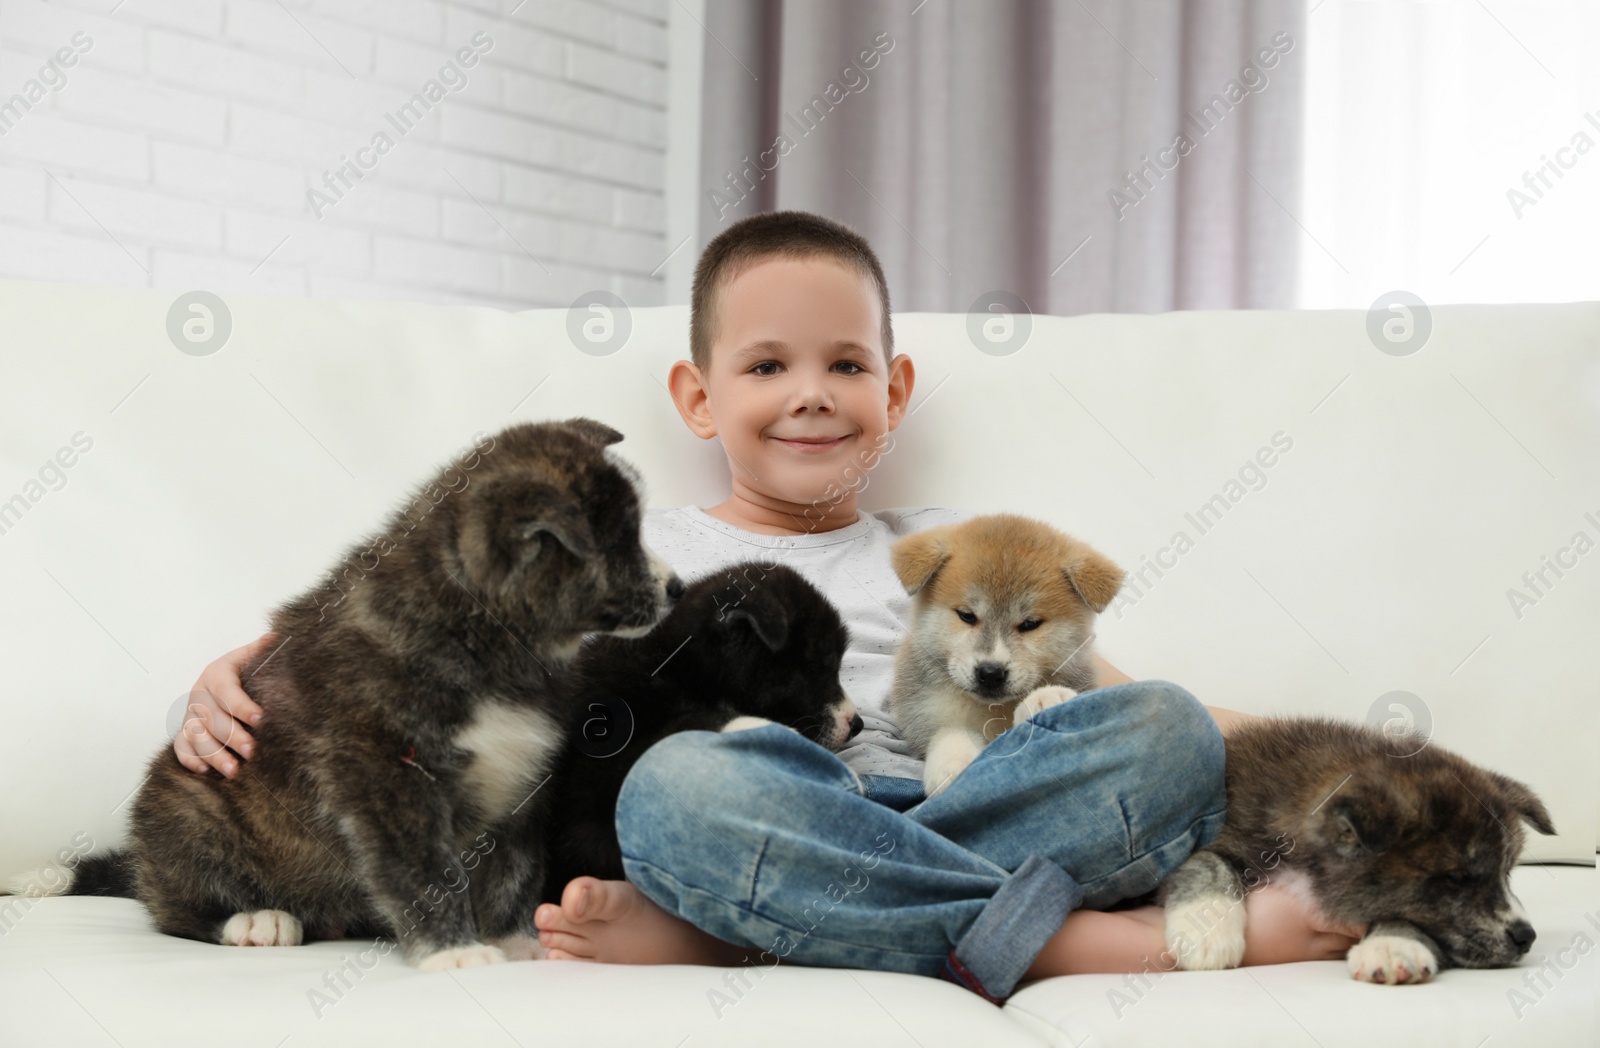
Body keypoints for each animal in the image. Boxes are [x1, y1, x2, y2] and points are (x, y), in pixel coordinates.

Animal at [17, 419, 681, 972]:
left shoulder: (519, 779)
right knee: (175, 906)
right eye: (620, 542)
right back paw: (254, 919)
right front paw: (455, 954)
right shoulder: (383, 776)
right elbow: (426, 872)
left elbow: (515, 870)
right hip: (187, 804)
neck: (478, 626)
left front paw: (518, 943)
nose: (675, 587)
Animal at [889, 515, 1126, 796]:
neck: (991, 711)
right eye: (967, 615)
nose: (990, 673)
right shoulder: (929, 713)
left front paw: (1046, 699)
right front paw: (953, 766)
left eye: (1030, 624)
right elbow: (948, 734)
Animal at [1158, 716, 1555, 985]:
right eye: (1457, 879)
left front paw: (1394, 944)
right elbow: (1206, 861)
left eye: (1506, 873)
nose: (1527, 937)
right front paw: (1206, 931)